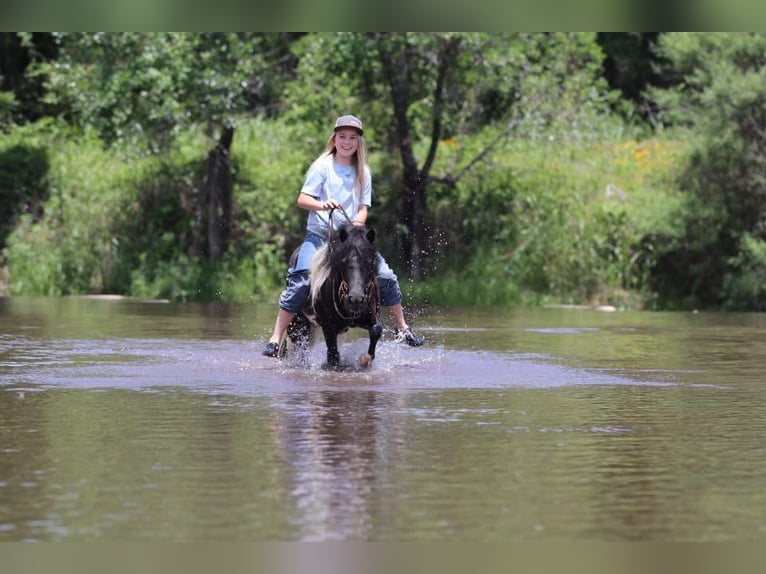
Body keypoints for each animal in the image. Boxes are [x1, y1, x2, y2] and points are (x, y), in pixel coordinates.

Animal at [282, 223, 384, 372]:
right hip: (298, 324)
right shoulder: (328, 327)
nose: (356, 300)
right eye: (343, 261)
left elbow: (376, 330)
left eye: (370, 262)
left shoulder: (370, 316)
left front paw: (364, 361)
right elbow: (333, 357)